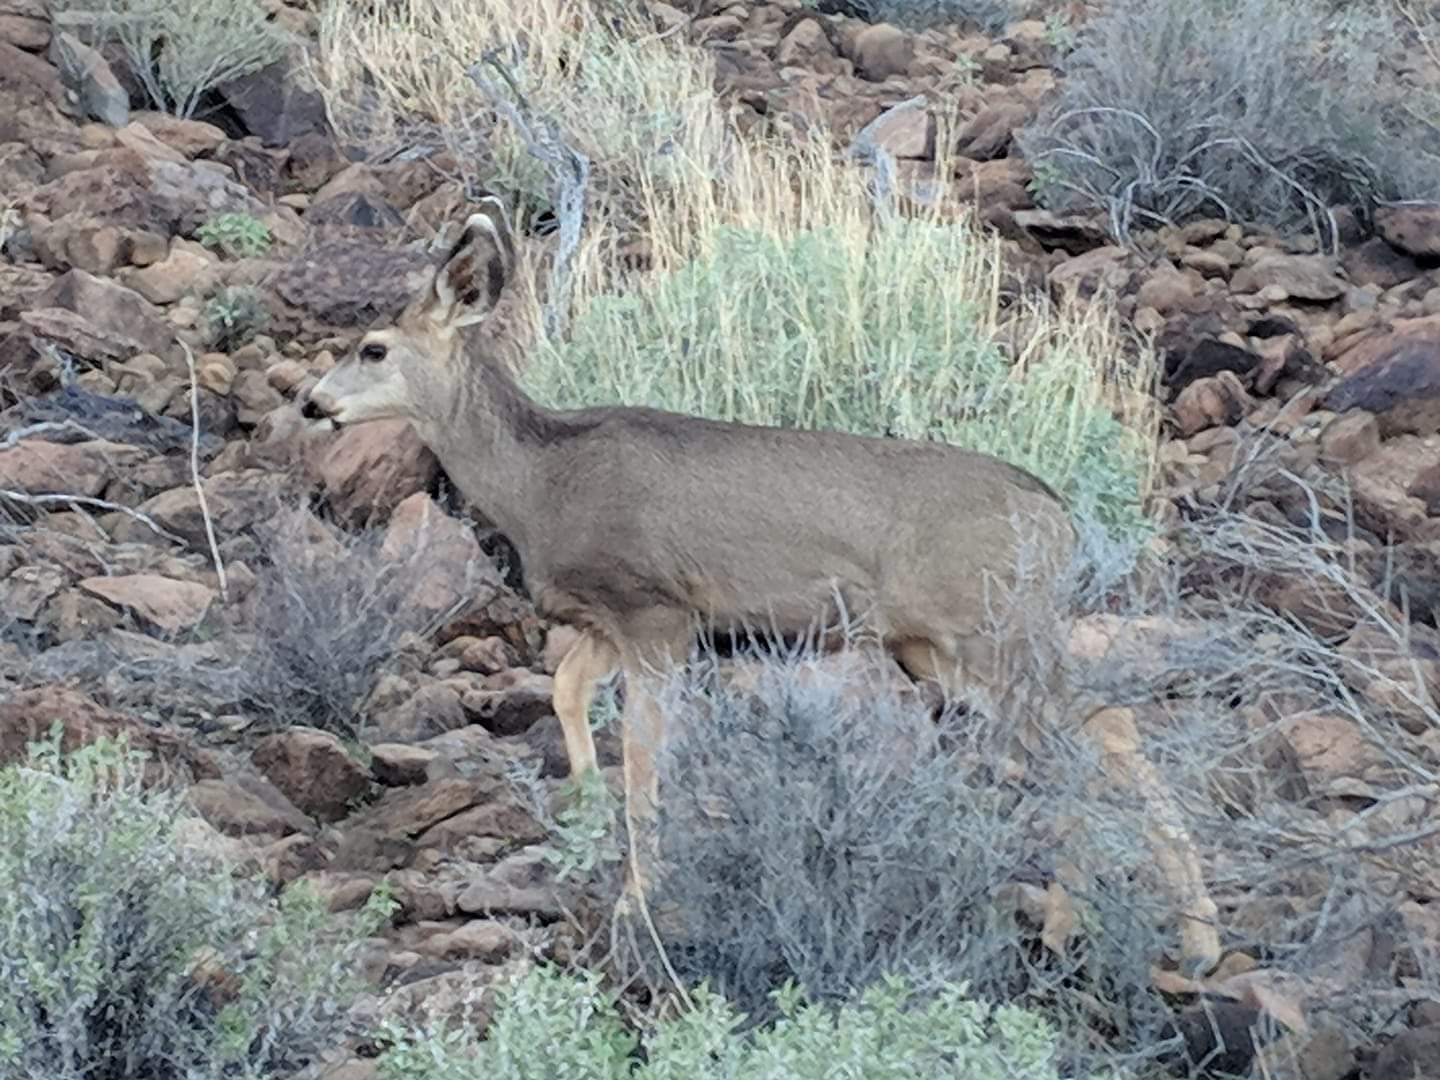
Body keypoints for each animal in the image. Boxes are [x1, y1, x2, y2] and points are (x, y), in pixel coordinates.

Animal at [299, 197, 1224, 976]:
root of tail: (1059, 519)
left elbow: (646, 752)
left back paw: (1188, 934)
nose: (311, 403)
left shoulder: (658, 609)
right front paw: (588, 829)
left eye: (373, 349)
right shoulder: (607, 620)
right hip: (939, 650)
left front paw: (639, 897)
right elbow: (566, 692)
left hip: (994, 624)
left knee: (1106, 726)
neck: (542, 482)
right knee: (1074, 739)